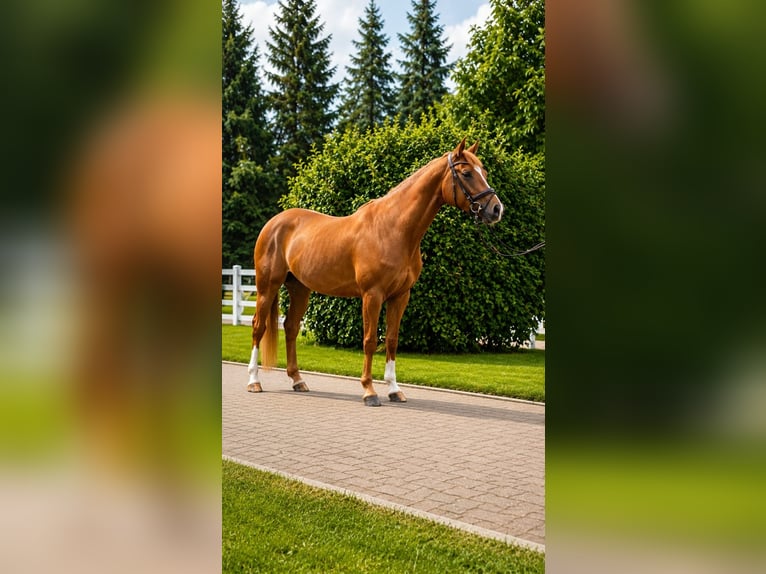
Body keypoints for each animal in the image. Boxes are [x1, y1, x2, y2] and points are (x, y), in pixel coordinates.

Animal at [246, 138, 504, 406]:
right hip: (267, 287)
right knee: (258, 326)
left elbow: (391, 340)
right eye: (466, 173)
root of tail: (274, 223)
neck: (393, 229)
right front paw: (369, 391)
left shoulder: (400, 296)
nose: (497, 209)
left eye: (484, 173)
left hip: (300, 289)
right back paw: (254, 381)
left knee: (291, 327)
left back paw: (298, 380)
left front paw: (394, 389)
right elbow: (370, 340)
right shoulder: (372, 295)